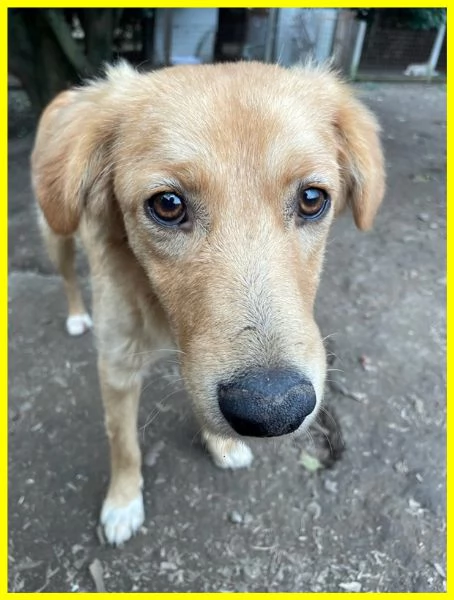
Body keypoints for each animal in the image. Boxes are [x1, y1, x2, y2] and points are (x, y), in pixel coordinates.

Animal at [31, 59, 384, 544]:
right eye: (167, 204)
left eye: (313, 198)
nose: (273, 411)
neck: (164, 313)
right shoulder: (117, 365)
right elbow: (124, 444)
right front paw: (123, 502)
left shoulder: (196, 357)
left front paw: (221, 443)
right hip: (56, 234)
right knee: (67, 276)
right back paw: (75, 316)